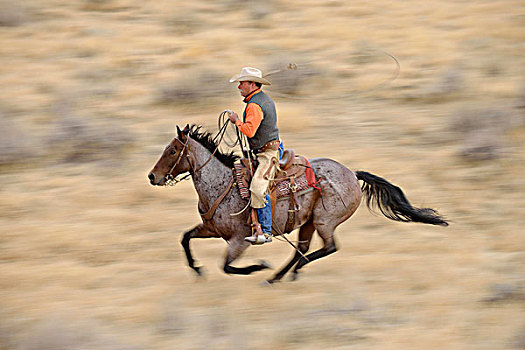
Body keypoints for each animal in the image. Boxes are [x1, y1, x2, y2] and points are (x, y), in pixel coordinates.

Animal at [147, 124, 446, 284]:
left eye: (172, 150)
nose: (152, 176)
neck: (221, 185)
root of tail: (352, 173)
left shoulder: (240, 240)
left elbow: (227, 266)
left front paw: (260, 265)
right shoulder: (210, 229)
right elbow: (185, 238)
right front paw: (197, 269)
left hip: (325, 222)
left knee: (327, 248)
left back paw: (285, 273)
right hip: (309, 223)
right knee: (301, 250)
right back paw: (277, 277)